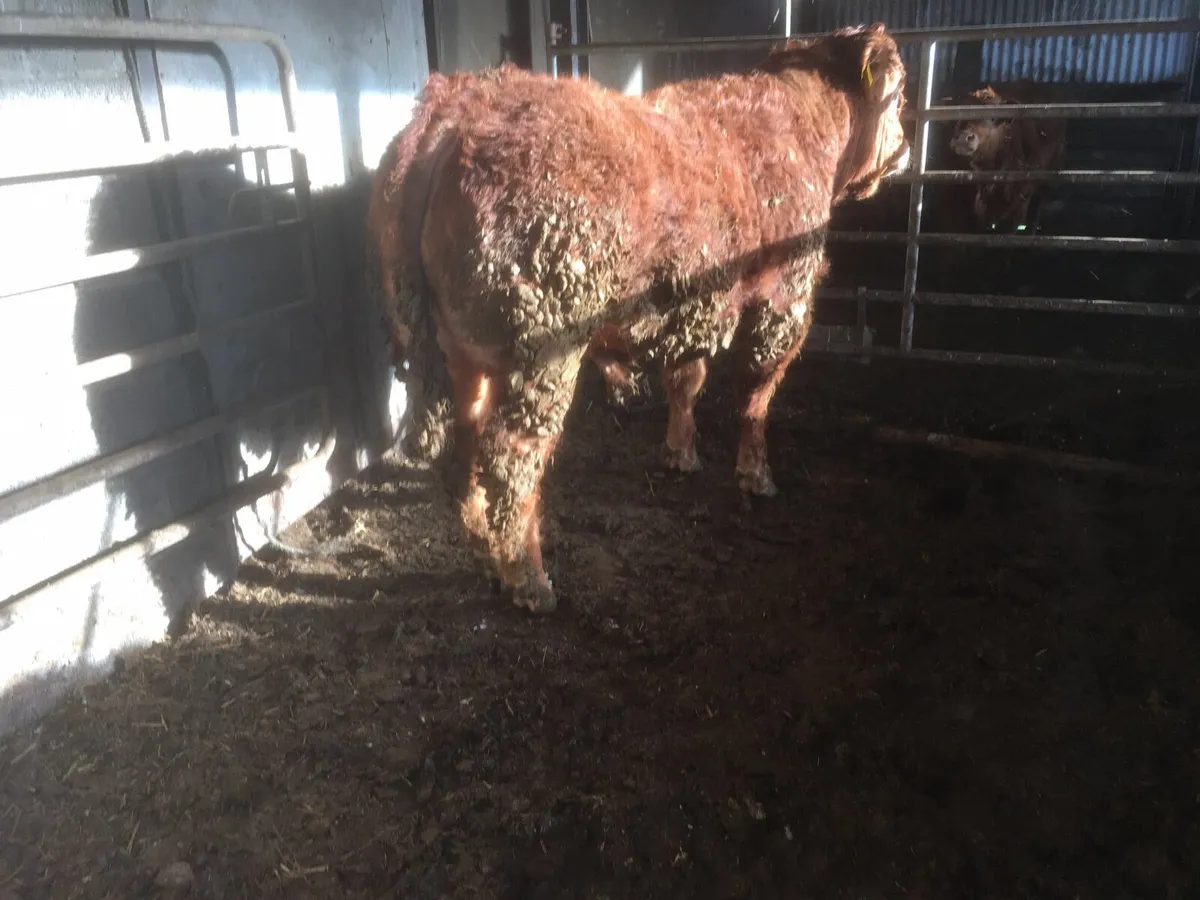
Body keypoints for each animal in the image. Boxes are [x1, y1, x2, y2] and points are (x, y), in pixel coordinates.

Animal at [368, 23, 911, 612]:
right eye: (902, 92)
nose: (906, 147)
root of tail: (459, 105)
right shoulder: (784, 299)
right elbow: (756, 394)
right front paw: (755, 474)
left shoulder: (693, 303)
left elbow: (686, 378)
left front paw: (681, 451)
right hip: (542, 350)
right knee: (512, 459)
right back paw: (529, 580)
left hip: (456, 350)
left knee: (461, 450)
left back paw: (487, 556)